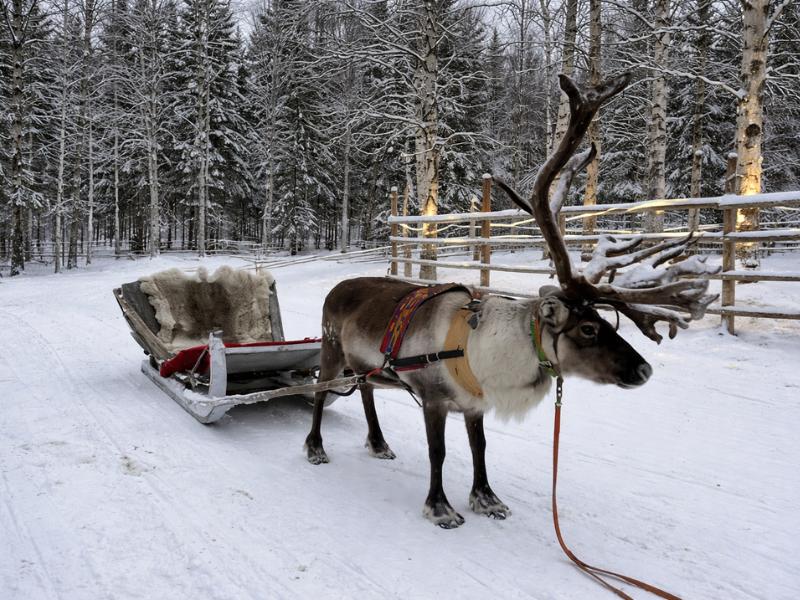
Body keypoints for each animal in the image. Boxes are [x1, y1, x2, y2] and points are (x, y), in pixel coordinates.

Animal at [304, 73, 720, 529]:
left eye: (607, 322)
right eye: (588, 328)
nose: (644, 370)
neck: (481, 350)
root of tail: (336, 288)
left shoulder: (474, 404)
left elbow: (480, 448)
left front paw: (487, 498)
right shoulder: (433, 398)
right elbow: (439, 452)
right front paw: (440, 507)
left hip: (368, 367)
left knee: (365, 392)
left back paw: (378, 443)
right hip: (330, 349)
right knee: (321, 392)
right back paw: (315, 446)